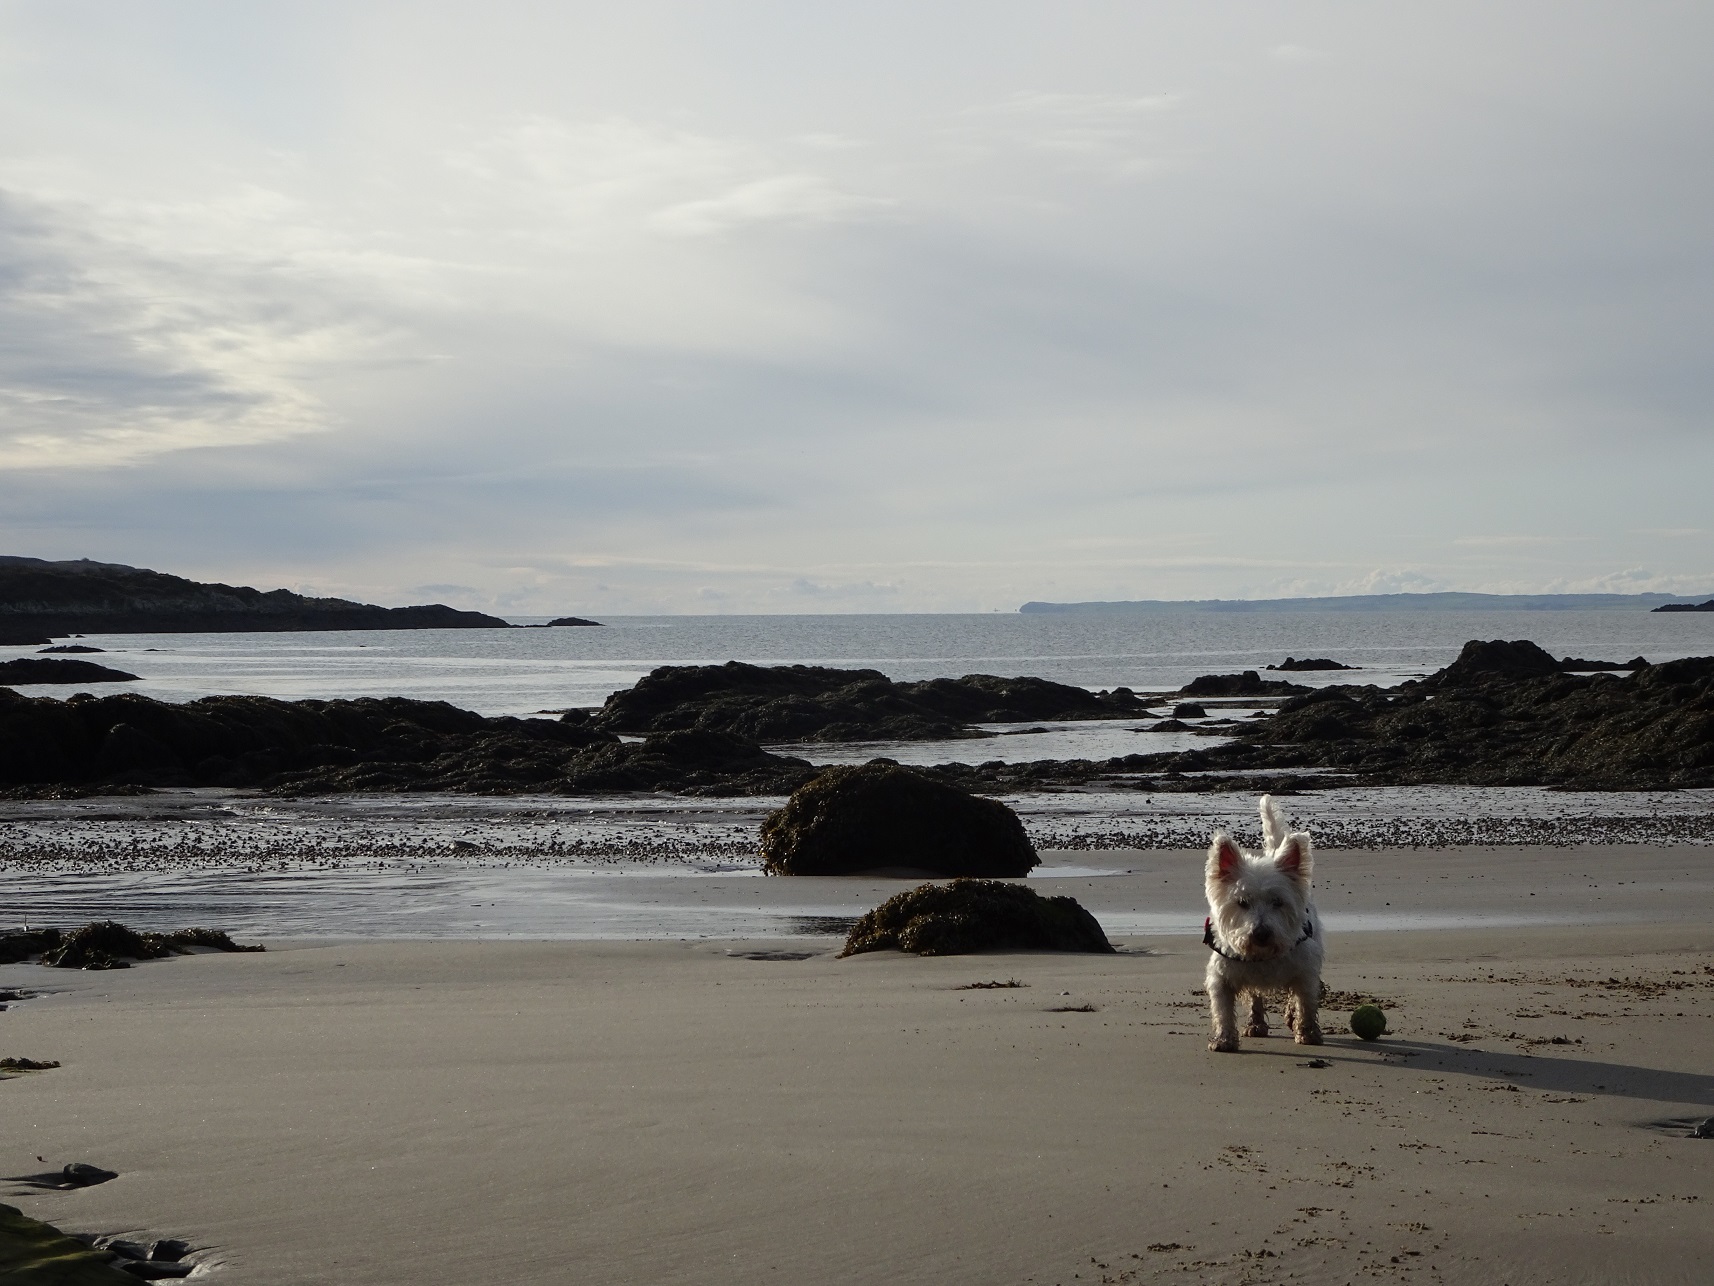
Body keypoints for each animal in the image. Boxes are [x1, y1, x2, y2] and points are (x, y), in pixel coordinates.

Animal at [1206, 795, 1323, 1056]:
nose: (1260, 934)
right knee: (1255, 996)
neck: (1263, 956)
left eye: (1278, 902)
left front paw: (1308, 1033)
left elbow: (1305, 1001)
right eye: (1242, 902)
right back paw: (1256, 1024)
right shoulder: (1222, 977)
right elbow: (1223, 1011)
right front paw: (1223, 1039)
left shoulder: (1305, 970)